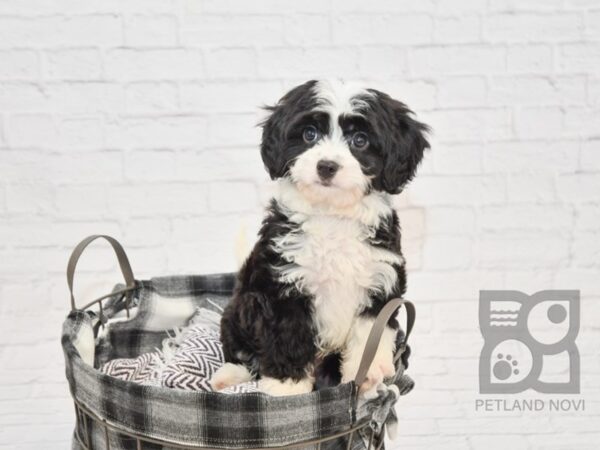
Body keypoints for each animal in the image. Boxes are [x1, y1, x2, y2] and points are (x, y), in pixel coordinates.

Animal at [211, 79, 432, 396]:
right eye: (309, 134)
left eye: (360, 140)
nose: (326, 166)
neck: (332, 216)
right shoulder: (283, 285)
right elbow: (286, 338)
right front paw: (286, 390)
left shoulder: (380, 280)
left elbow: (370, 333)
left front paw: (366, 375)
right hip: (239, 307)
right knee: (238, 349)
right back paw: (227, 376)